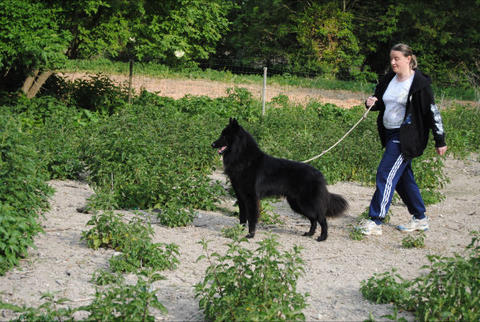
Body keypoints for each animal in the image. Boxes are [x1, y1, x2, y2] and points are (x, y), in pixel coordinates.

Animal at [212, 118, 346, 242]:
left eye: (224, 135)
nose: (212, 144)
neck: (243, 158)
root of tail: (320, 175)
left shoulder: (251, 198)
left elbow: (252, 217)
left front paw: (251, 234)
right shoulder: (241, 197)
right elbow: (242, 217)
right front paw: (239, 231)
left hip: (306, 203)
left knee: (322, 219)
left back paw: (322, 237)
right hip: (297, 204)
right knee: (313, 219)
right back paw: (309, 233)